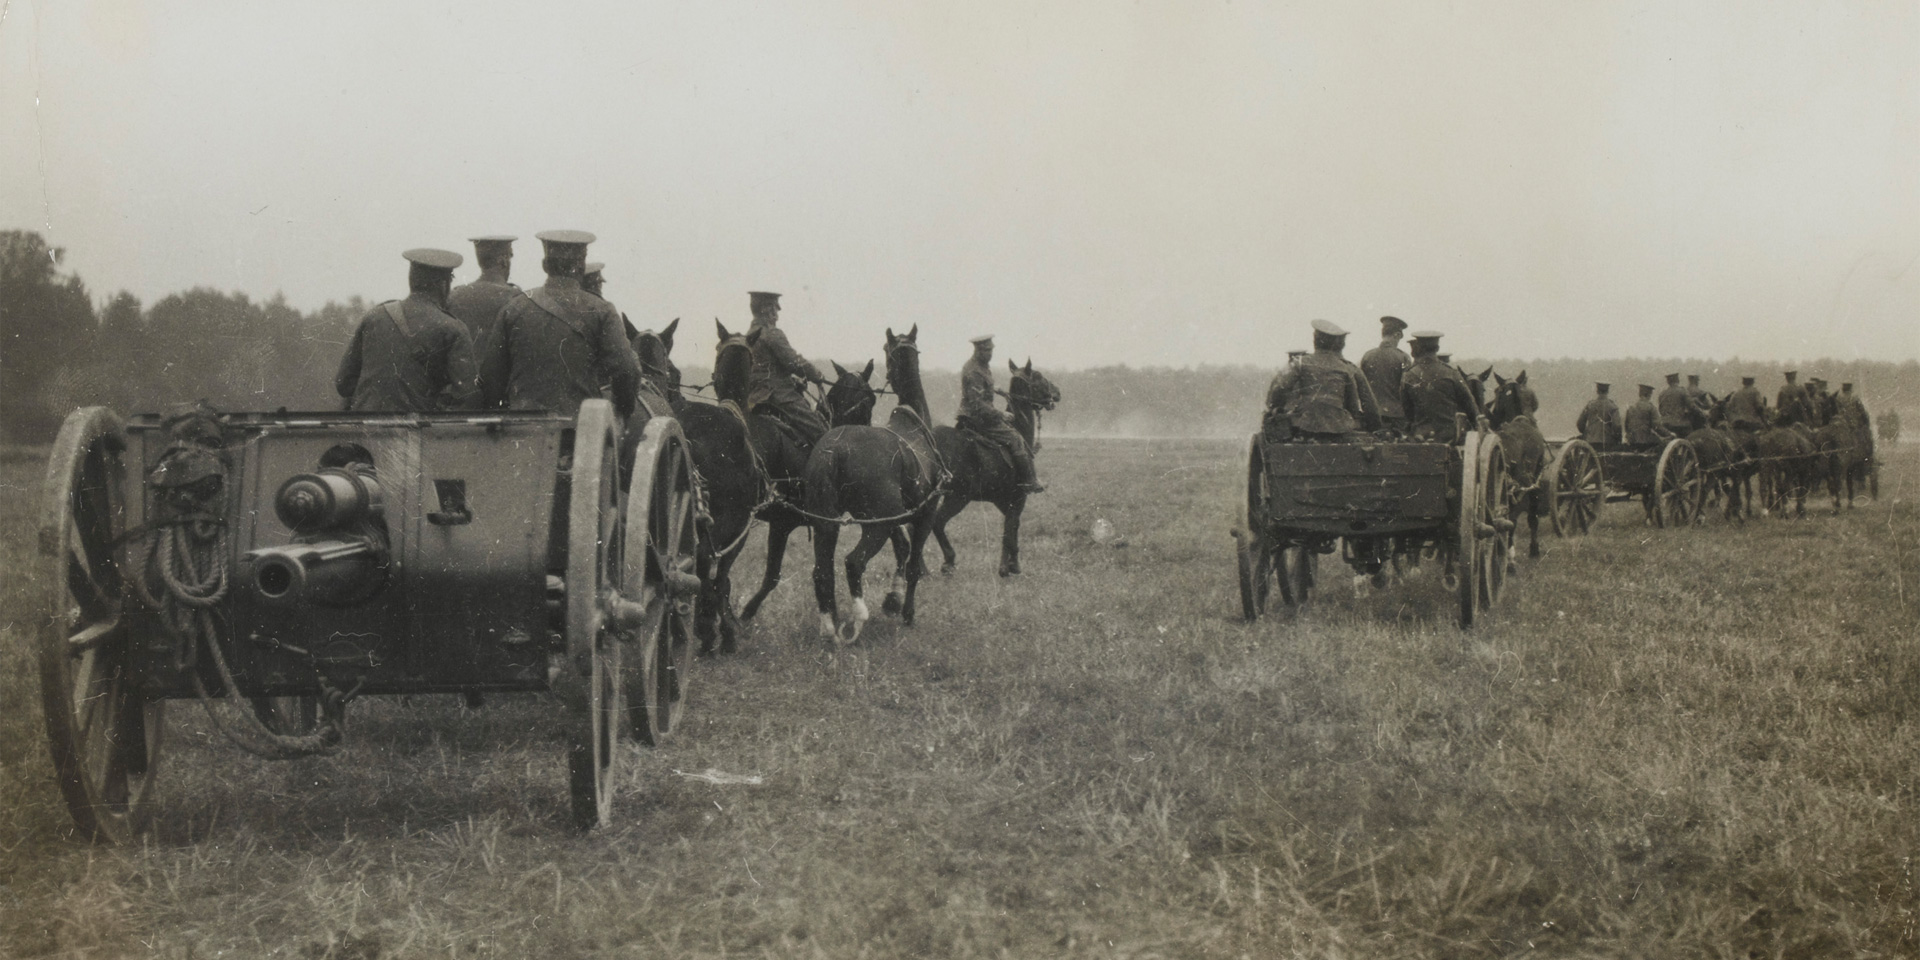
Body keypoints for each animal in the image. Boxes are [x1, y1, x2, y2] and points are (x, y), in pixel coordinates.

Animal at [794, 328, 944, 645]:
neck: (914, 425)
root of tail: (836, 449)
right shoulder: (924, 515)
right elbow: (913, 563)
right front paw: (906, 611)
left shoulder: (893, 519)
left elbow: (902, 549)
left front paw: (893, 599)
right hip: (875, 527)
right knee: (854, 562)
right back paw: (857, 620)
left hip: (828, 523)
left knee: (821, 571)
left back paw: (829, 627)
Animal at [929, 357, 1067, 572]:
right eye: (1038, 376)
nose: (1057, 392)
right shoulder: (1018, 497)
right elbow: (1011, 528)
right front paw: (1009, 567)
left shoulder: (1002, 500)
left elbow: (1010, 528)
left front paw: (1010, 563)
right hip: (957, 497)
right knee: (937, 522)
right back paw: (948, 560)